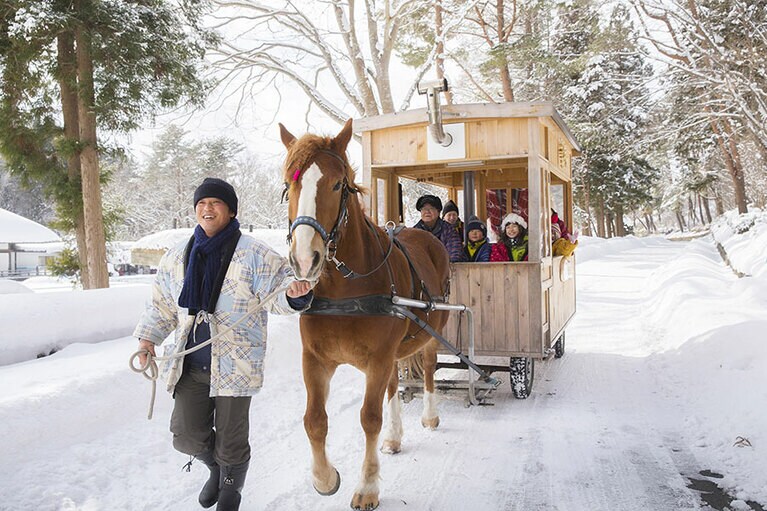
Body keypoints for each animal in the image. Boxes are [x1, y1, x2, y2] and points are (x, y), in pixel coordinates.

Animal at [279, 119, 451, 510]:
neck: (347, 290)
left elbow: (369, 418)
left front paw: (368, 486)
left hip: (430, 333)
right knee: (392, 386)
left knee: (429, 371)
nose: (304, 260)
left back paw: (430, 415)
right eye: (289, 185)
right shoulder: (316, 359)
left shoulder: (378, 358)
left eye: (337, 184)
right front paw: (325, 478)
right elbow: (314, 420)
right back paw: (394, 436)